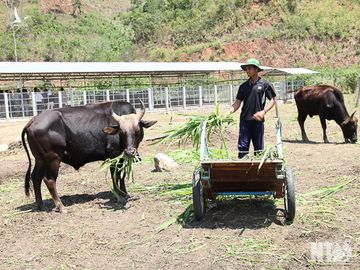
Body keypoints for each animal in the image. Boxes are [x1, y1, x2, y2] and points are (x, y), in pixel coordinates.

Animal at [21, 100, 157, 212]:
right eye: (122, 132)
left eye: (137, 130)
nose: (130, 152)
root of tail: (34, 119)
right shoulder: (113, 156)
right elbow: (115, 176)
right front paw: (119, 196)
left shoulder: (122, 158)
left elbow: (121, 176)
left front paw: (124, 193)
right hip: (53, 159)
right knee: (49, 180)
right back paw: (61, 207)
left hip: (40, 159)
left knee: (36, 178)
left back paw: (40, 205)